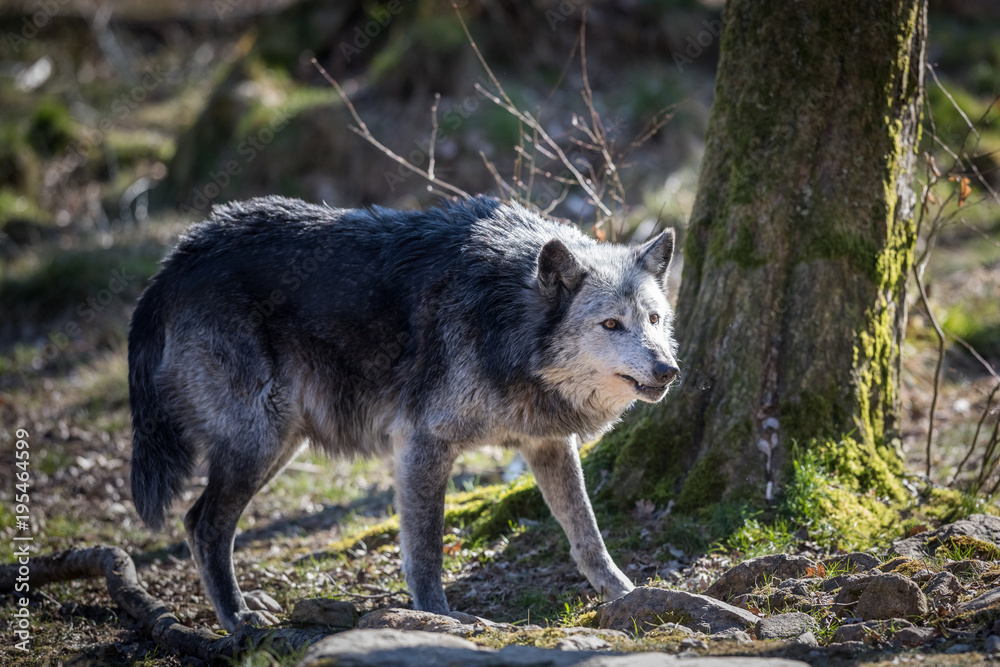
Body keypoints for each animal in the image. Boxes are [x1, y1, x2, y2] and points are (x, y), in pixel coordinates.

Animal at [128, 196, 679, 631]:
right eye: (611, 324)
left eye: (654, 319)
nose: (669, 369)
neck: (502, 319)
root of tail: (179, 257)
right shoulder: (422, 443)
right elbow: (425, 548)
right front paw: (440, 617)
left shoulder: (546, 442)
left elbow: (586, 531)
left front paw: (624, 592)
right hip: (259, 441)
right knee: (202, 523)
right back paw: (237, 616)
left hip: (281, 443)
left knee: (201, 523)